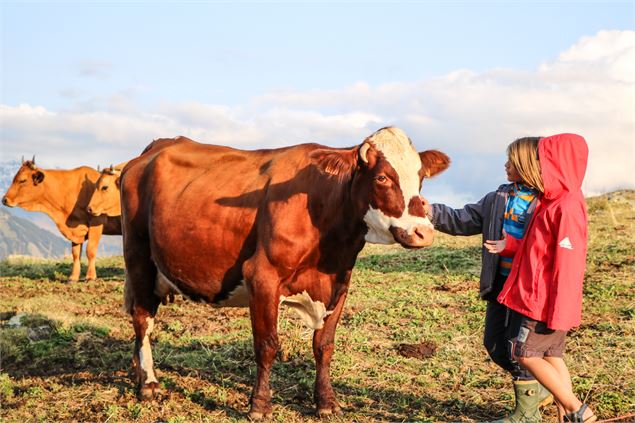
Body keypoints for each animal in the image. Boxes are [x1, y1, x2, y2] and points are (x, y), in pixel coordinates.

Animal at [120, 127, 452, 420]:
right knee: (142, 319)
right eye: (382, 177)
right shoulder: (261, 277)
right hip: (138, 257)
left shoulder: (338, 284)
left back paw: (137, 372)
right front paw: (260, 405)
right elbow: (267, 345)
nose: (423, 233)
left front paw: (326, 403)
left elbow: (324, 346)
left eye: (421, 178)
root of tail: (155, 148)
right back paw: (148, 383)